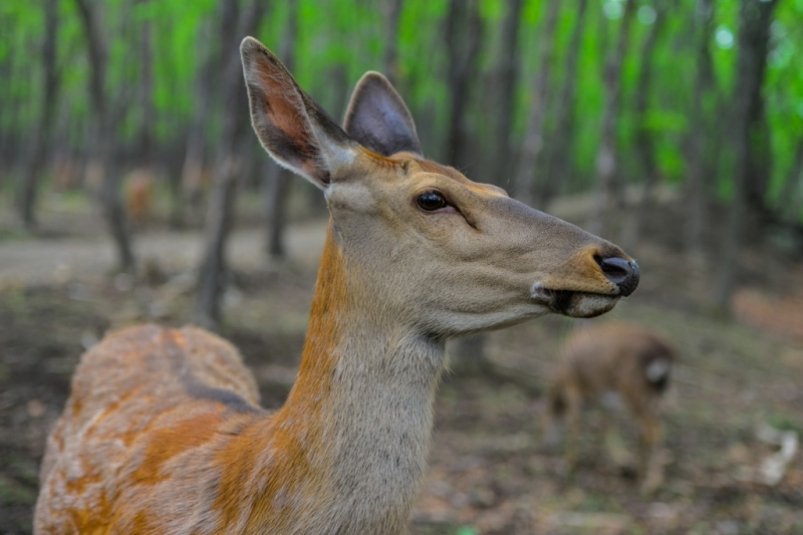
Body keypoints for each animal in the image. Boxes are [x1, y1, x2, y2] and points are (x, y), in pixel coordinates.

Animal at [544, 322, 676, 494]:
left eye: (543, 421)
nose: (546, 445)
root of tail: (666, 352)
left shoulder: (573, 388)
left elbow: (575, 425)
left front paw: (568, 465)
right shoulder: (606, 400)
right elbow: (607, 428)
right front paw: (613, 463)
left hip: (632, 387)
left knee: (653, 430)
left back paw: (651, 483)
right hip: (654, 392)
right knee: (646, 430)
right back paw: (639, 473)